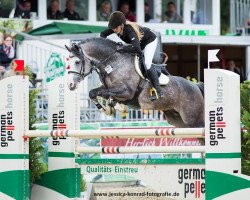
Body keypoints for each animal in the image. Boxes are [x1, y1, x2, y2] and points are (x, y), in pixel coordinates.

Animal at [65, 37, 204, 128]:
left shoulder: (127, 92)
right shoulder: (107, 88)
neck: (113, 63)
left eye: (77, 62)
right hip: (178, 120)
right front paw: (107, 109)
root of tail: (195, 86)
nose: (70, 85)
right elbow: (93, 92)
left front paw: (113, 107)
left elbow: (102, 93)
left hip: (193, 120)